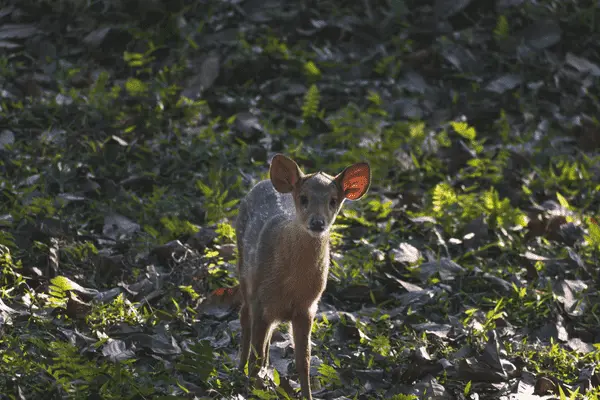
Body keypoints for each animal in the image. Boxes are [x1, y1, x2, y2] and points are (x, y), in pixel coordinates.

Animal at [234, 155, 370, 398]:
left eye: (333, 200)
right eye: (304, 198)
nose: (317, 222)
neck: (292, 285)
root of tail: (263, 182)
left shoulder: (307, 308)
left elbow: (303, 361)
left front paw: (307, 395)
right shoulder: (261, 300)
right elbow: (255, 357)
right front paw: (254, 390)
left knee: (266, 339)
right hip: (245, 274)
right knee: (245, 319)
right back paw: (240, 370)